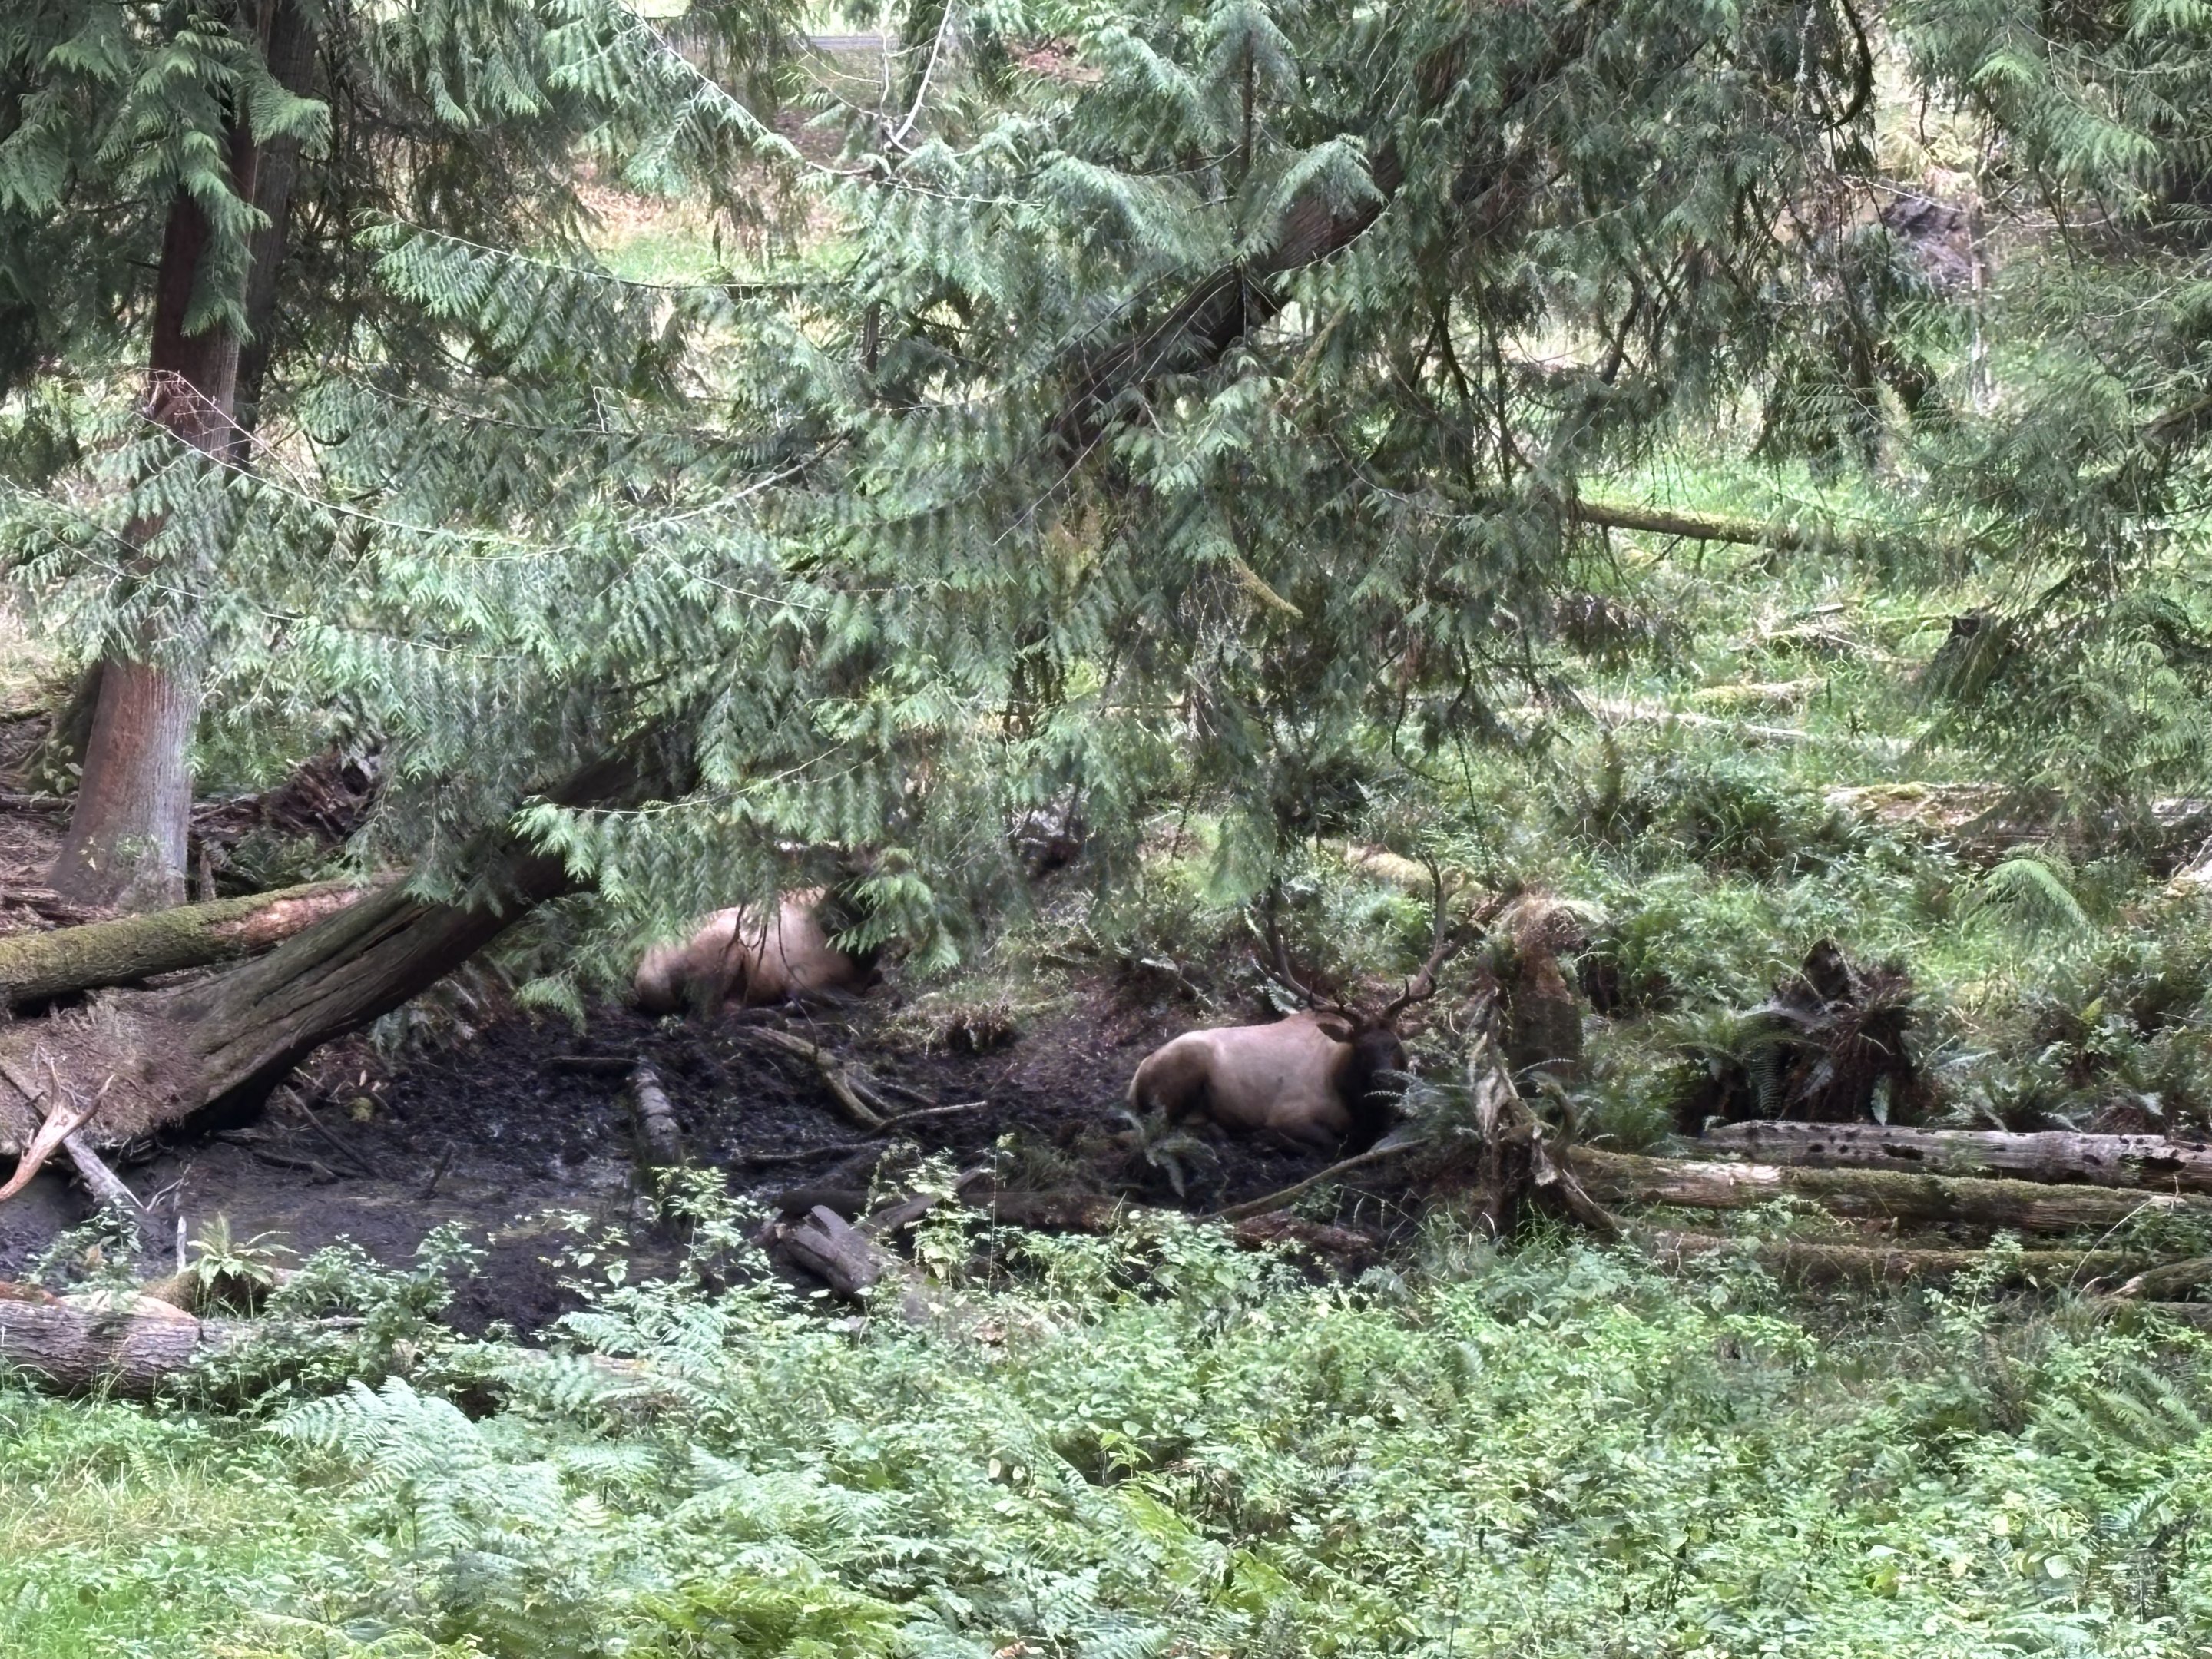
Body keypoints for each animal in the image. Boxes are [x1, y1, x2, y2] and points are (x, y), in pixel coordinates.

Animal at [1125, 875, 1459, 1151]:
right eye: (1360, 1049)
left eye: (1394, 1044)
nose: (1387, 1081)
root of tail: (1137, 1076)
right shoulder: (1288, 1113)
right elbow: (1335, 1145)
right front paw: (1271, 1140)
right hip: (1184, 1070)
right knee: (1166, 1124)